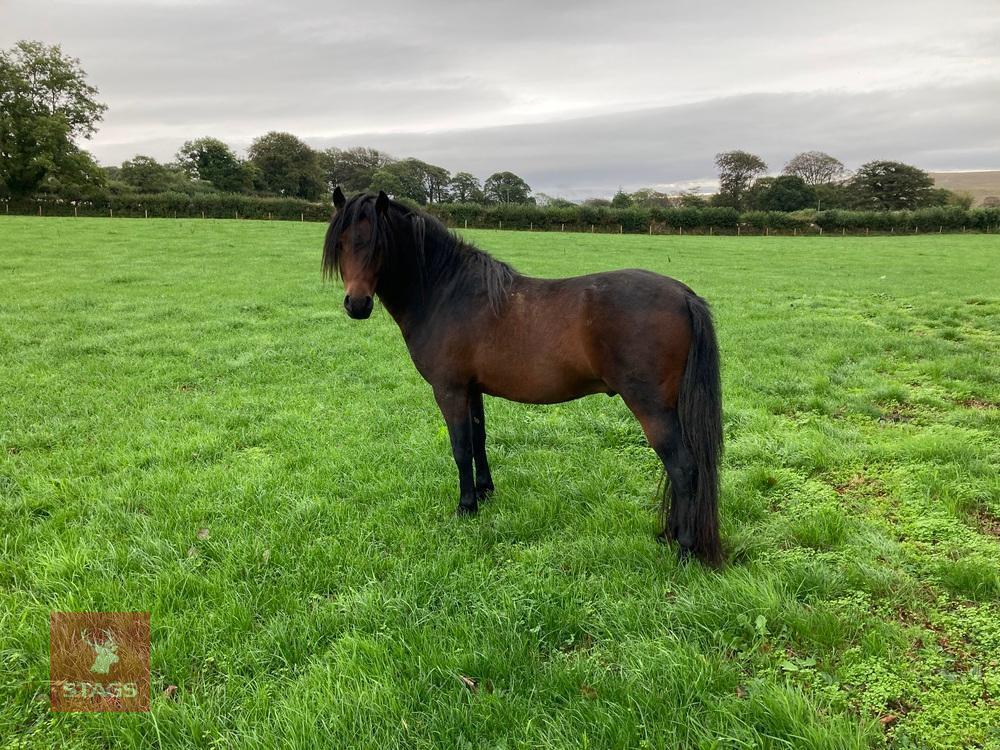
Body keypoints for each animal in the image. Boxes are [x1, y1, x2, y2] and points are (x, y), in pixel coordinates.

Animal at [323, 188, 724, 565]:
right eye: (340, 243)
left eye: (378, 245)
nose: (357, 305)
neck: (445, 292)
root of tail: (684, 295)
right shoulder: (472, 390)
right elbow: (478, 441)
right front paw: (485, 492)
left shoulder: (449, 390)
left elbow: (460, 447)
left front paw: (466, 507)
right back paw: (670, 535)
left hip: (651, 407)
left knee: (684, 469)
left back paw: (684, 549)